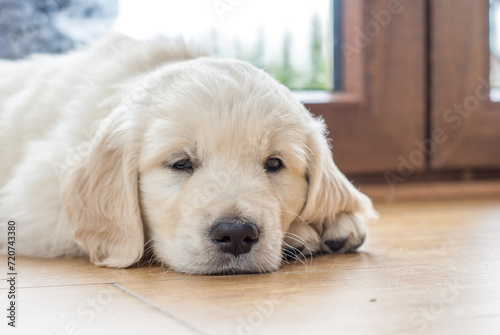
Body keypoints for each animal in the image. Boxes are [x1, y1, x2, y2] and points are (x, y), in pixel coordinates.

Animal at [0, 34, 376, 276]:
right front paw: (306, 232)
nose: (236, 234)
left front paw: (330, 221)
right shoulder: (33, 202)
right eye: (180, 163)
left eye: (274, 163)